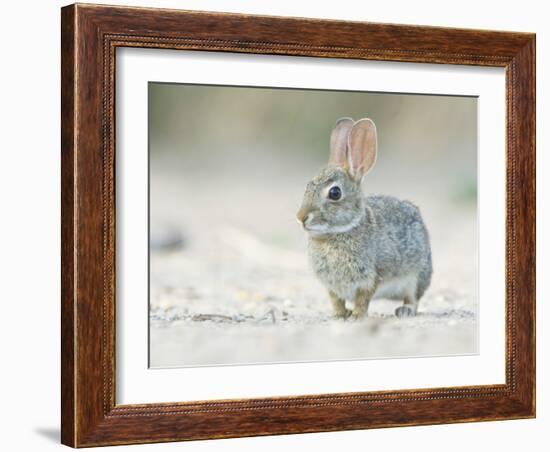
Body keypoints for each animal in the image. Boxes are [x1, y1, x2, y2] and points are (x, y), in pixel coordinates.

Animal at [296, 118, 434, 320]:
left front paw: (356, 316)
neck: (338, 233)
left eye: (335, 193)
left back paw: (405, 310)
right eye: (307, 186)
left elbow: (363, 299)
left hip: (416, 276)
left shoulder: (370, 278)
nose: (300, 217)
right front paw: (340, 315)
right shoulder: (332, 287)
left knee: (413, 298)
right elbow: (336, 301)